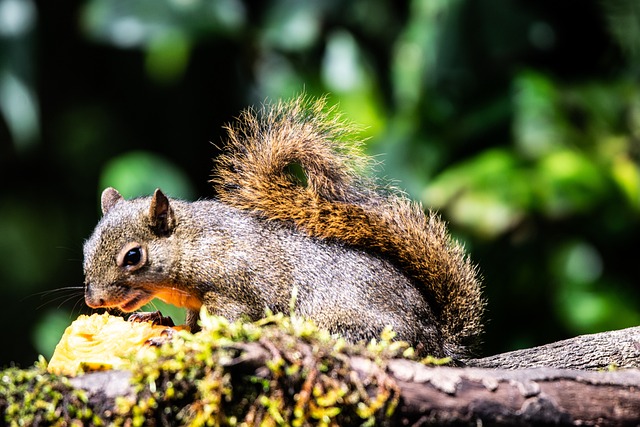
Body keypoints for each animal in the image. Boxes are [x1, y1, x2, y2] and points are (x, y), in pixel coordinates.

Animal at [84, 95, 484, 360]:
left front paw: (177, 339)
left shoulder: (235, 290)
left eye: (133, 256)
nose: (95, 301)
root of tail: (436, 339)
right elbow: (194, 320)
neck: (194, 244)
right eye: (86, 249)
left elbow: (226, 323)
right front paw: (158, 318)